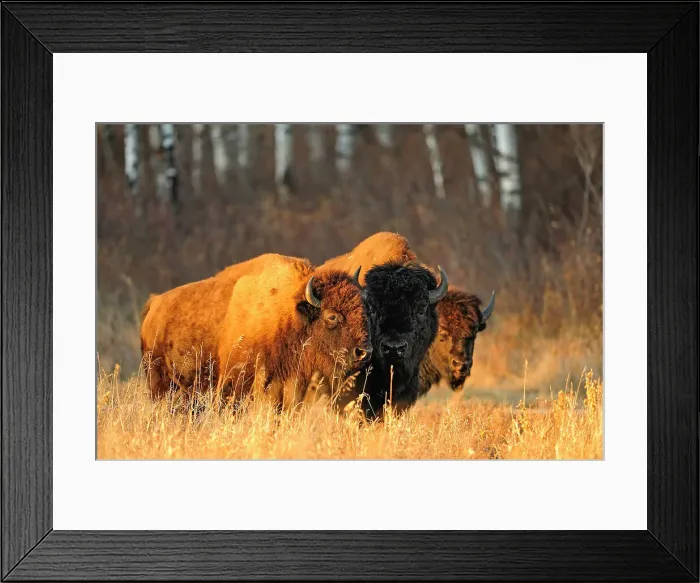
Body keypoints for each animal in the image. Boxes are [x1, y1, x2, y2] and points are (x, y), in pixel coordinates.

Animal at [140, 253, 372, 411]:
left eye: (364, 310)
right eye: (332, 316)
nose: (363, 352)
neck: (288, 313)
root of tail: (154, 304)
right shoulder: (237, 381)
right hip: (159, 382)